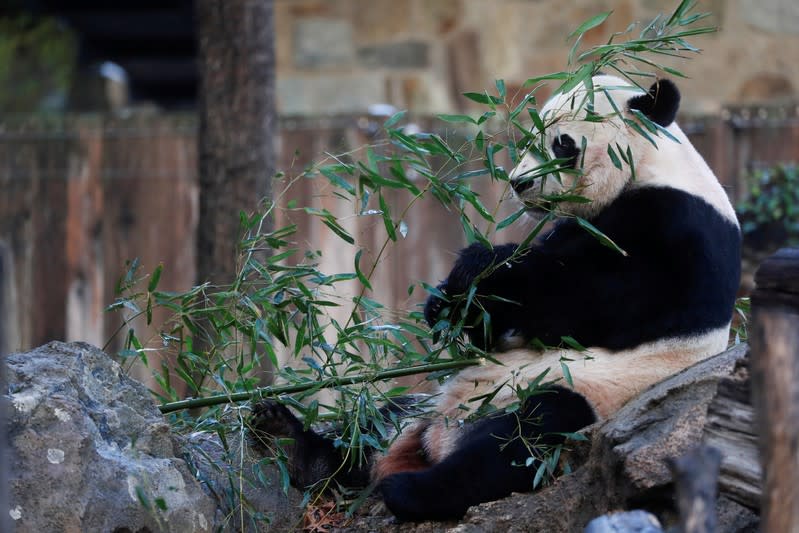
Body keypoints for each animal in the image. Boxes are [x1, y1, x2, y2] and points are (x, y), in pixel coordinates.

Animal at [252, 75, 744, 524]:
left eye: (562, 144)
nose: (519, 183)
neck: (651, 166)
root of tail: (438, 439)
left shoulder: (679, 231)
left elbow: (591, 296)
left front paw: (478, 266)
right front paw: (448, 303)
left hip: (578, 394)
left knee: (517, 441)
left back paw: (409, 491)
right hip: (420, 405)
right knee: (370, 427)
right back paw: (295, 445)